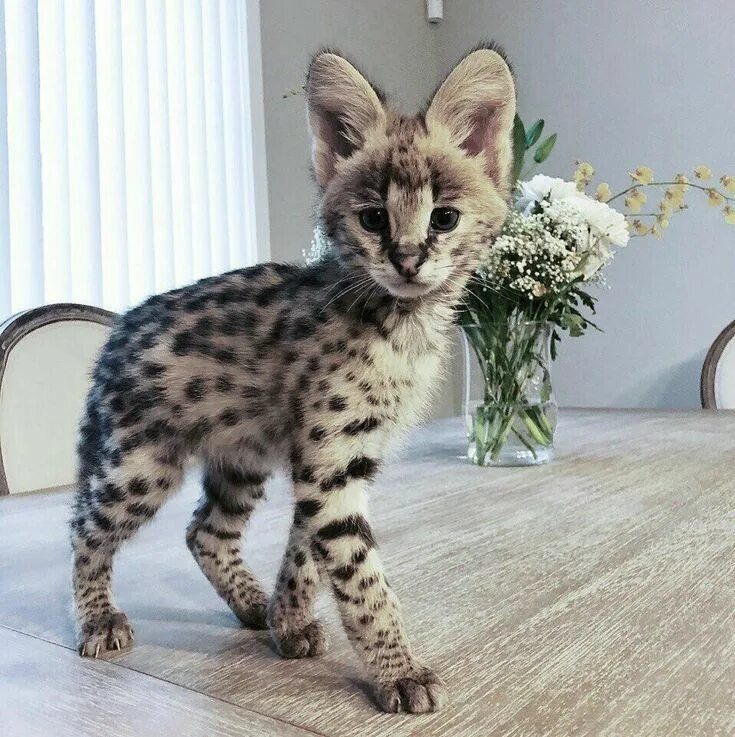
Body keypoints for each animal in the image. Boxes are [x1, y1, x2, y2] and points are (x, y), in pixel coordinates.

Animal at [69, 43, 516, 712]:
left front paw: (288, 617)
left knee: (204, 531)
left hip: (241, 455)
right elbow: (360, 574)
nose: (408, 260)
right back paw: (98, 618)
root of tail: (116, 332)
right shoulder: (331, 456)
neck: (398, 322)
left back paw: (251, 603)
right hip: (139, 462)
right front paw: (398, 672)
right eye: (372, 218)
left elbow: (308, 550)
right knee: (85, 527)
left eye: (444, 218)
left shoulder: (338, 456)